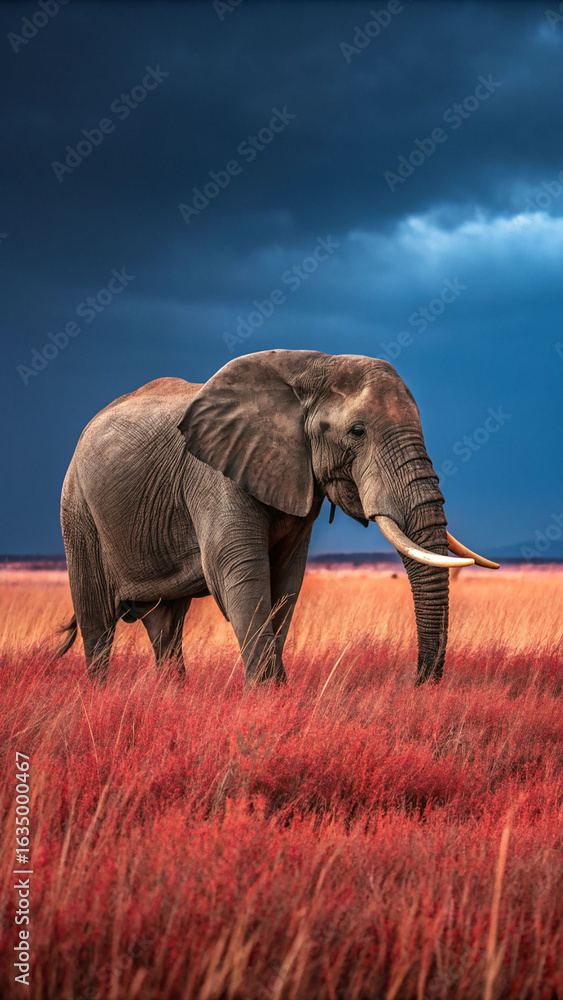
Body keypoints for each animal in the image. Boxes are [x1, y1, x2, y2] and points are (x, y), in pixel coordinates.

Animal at [56, 349, 498, 685]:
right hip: (77, 510)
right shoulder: (214, 473)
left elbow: (285, 580)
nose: (415, 681)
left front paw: (278, 693)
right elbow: (240, 572)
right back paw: (101, 696)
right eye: (357, 432)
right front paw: (266, 695)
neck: (312, 367)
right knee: (97, 622)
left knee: (165, 624)